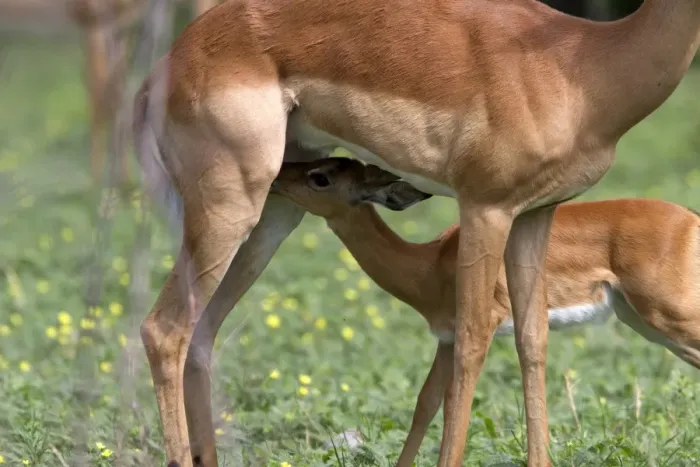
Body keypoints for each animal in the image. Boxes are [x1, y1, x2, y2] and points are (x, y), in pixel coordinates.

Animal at [271, 157, 700, 466]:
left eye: (320, 177)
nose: (276, 176)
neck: (428, 264)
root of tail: (691, 220)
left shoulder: (481, 324)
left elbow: (451, 403)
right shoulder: (445, 337)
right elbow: (425, 403)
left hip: (669, 314)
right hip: (642, 320)